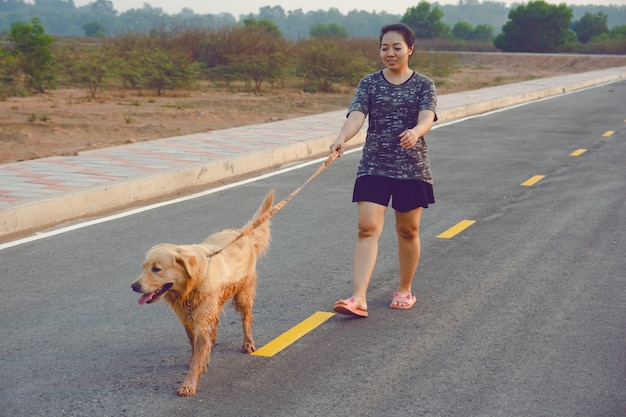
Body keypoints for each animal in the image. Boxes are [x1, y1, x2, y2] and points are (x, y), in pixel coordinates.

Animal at [131, 190, 272, 394]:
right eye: (144, 267)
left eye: (156, 269)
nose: (133, 286)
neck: (190, 287)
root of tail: (240, 233)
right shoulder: (188, 317)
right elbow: (194, 343)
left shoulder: (202, 315)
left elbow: (198, 353)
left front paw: (189, 383)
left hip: (244, 292)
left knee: (247, 318)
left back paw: (247, 342)